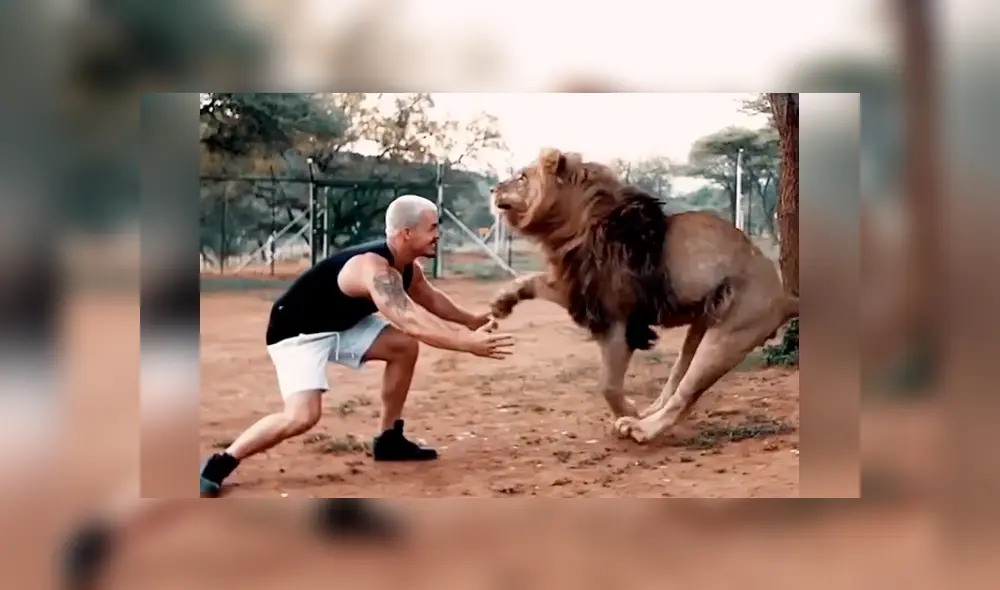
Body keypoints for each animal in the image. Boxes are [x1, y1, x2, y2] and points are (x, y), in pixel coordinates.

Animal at [488, 148, 799, 444]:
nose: (492, 189)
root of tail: (784, 296)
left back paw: (642, 427)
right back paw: (647, 413)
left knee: (685, 394)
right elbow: (532, 280)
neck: (572, 228)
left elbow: (607, 385)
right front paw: (502, 301)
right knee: (676, 381)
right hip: (701, 327)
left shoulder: (617, 320)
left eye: (522, 177)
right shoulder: (580, 290)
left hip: (728, 337)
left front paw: (626, 410)